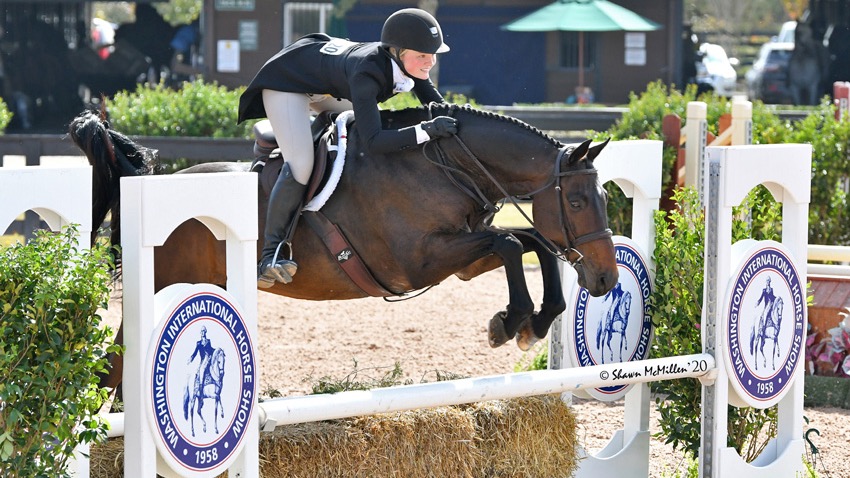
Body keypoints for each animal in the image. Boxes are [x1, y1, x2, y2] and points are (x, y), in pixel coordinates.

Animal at [69, 103, 616, 388]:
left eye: (606, 198)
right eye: (579, 201)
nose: (606, 279)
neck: (442, 164)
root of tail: (150, 184)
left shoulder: (460, 256)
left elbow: (529, 241)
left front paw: (535, 322)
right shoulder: (418, 263)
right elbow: (509, 243)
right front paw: (512, 322)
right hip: (165, 283)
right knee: (117, 364)